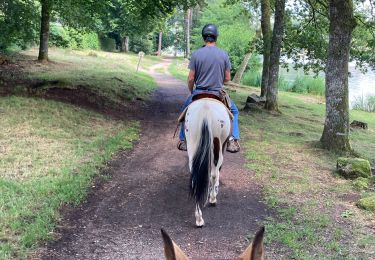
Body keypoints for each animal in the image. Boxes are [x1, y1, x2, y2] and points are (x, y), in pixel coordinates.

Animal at [183, 98, 231, 226]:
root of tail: (206, 111)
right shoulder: (222, 147)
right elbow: (217, 172)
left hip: (192, 142)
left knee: (195, 178)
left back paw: (199, 217)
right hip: (217, 143)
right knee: (213, 174)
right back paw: (213, 199)